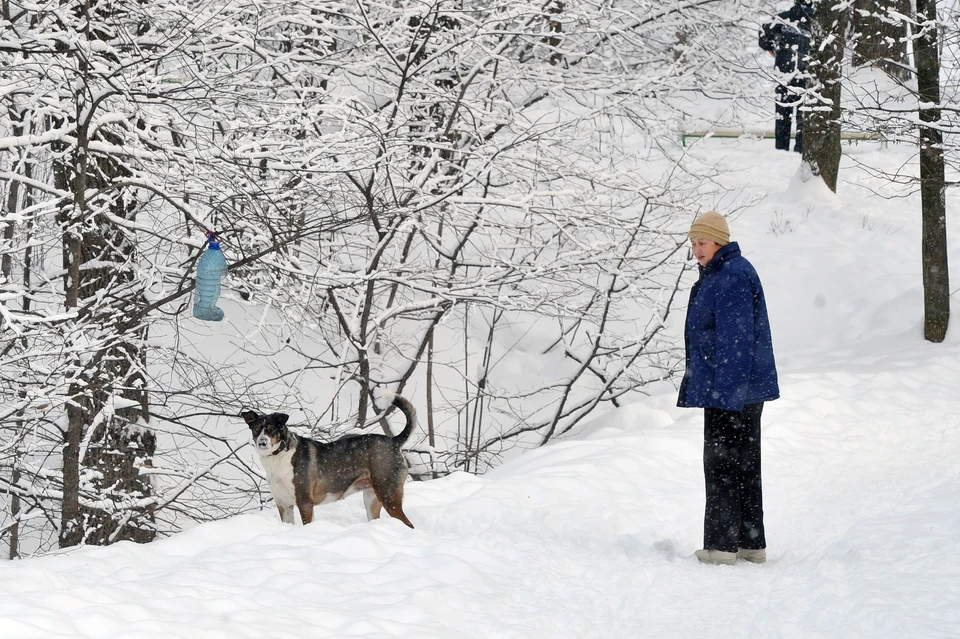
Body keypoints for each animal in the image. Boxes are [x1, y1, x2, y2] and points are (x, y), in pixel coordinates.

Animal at [242, 392, 414, 528]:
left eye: (271, 429)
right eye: (256, 429)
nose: (262, 442)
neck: (278, 456)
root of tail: (394, 441)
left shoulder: (305, 503)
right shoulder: (284, 505)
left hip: (389, 496)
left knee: (409, 524)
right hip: (371, 499)